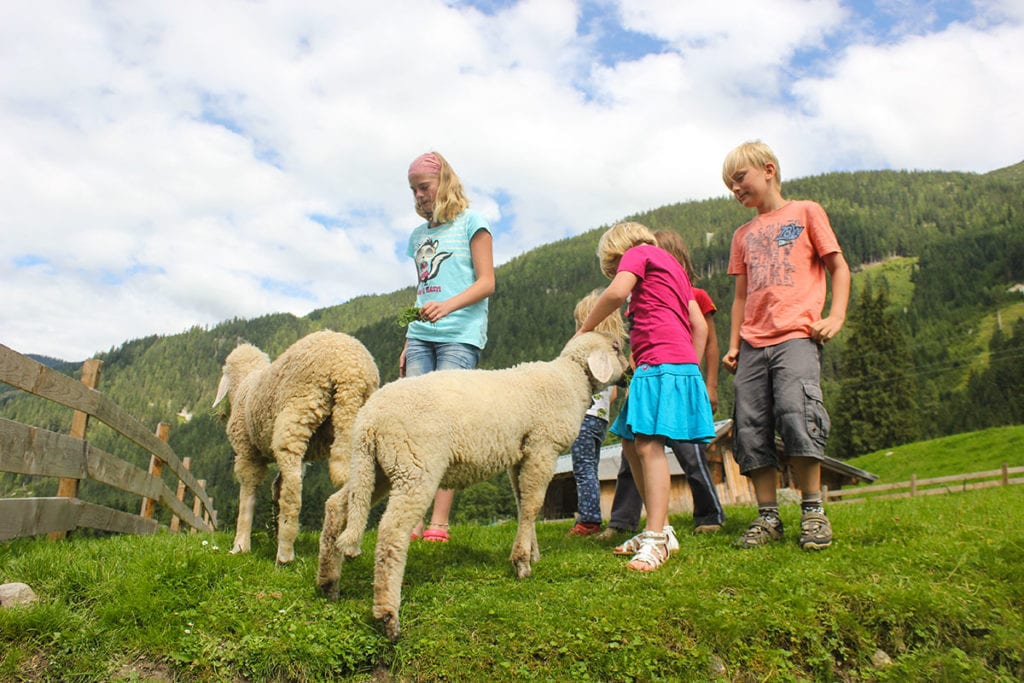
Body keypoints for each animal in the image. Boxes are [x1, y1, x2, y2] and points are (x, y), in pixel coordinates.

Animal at [215, 331, 380, 565]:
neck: (244, 384)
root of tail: (349, 371)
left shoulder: (247, 452)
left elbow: (247, 495)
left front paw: (240, 545)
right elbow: (277, 486)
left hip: (297, 415)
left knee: (293, 490)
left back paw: (284, 552)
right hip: (360, 428)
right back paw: (350, 548)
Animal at [315, 331, 626, 643]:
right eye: (617, 348)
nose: (630, 372)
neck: (570, 379)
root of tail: (368, 419)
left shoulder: (520, 456)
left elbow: (523, 503)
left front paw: (531, 552)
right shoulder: (542, 447)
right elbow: (533, 505)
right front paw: (522, 562)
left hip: (376, 468)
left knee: (336, 505)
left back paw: (329, 583)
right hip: (415, 465)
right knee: (392, 531)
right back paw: (388, 615)